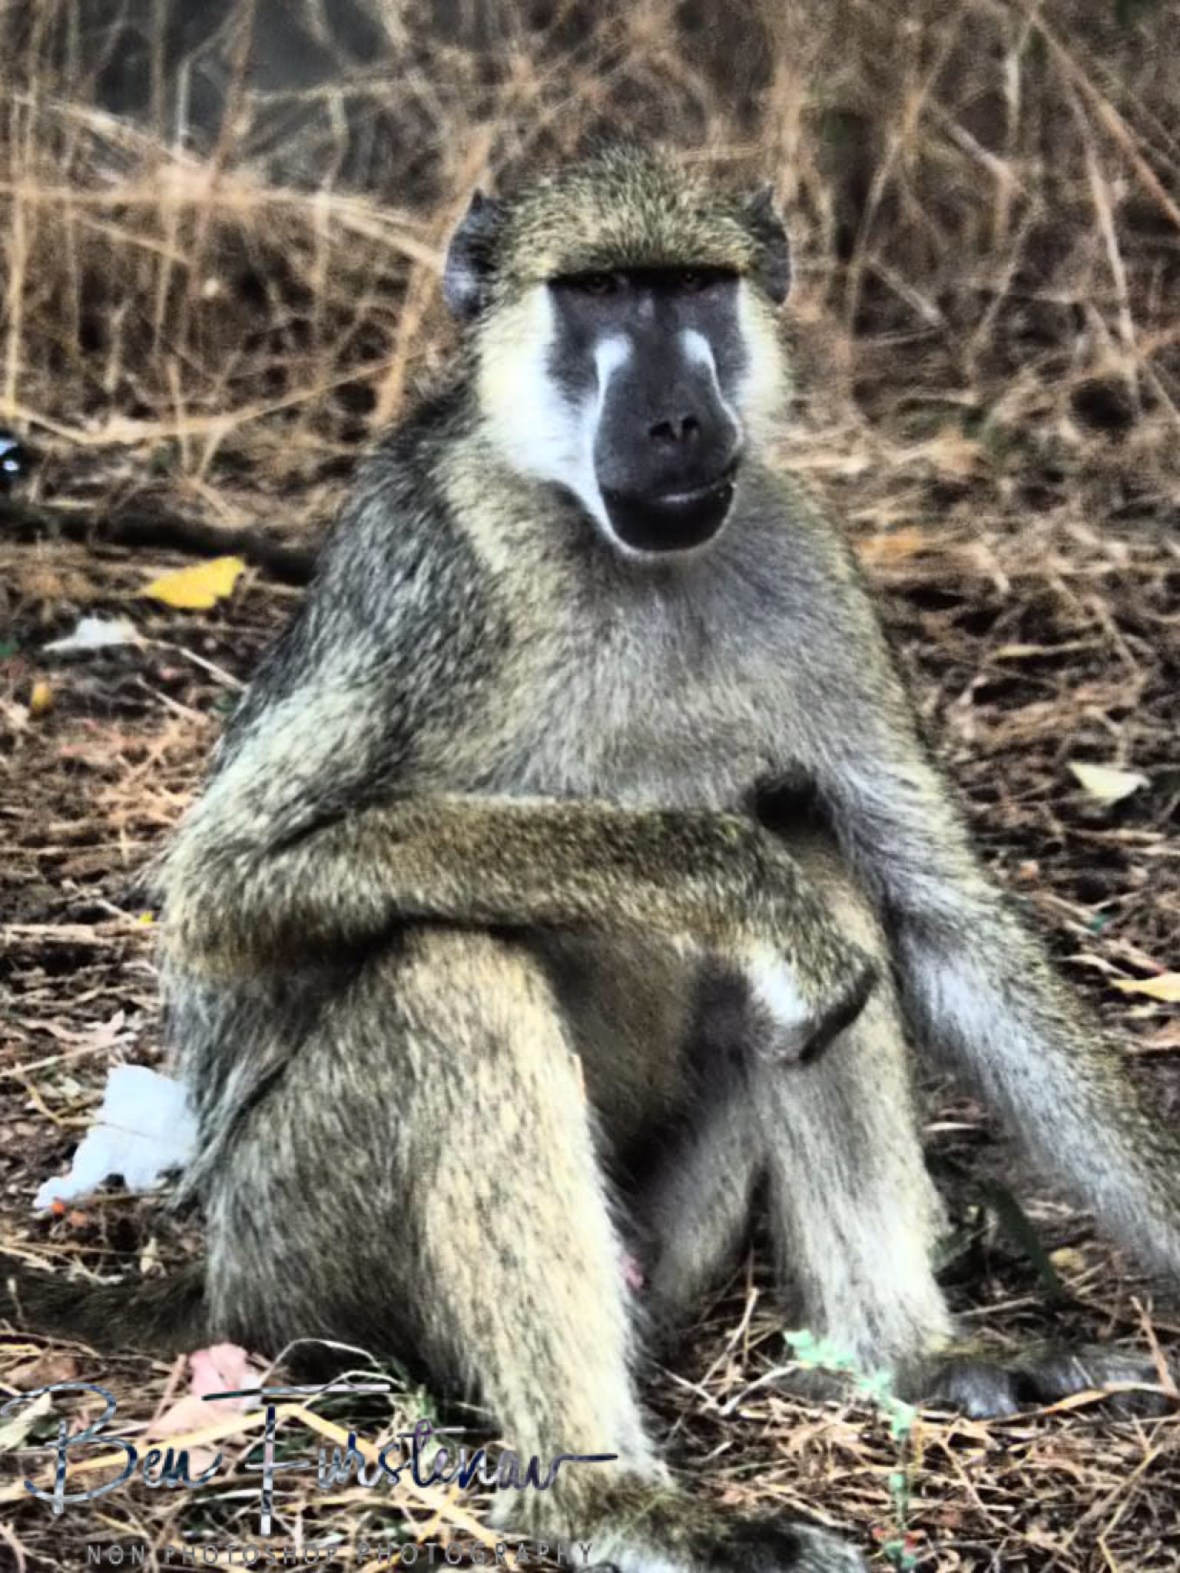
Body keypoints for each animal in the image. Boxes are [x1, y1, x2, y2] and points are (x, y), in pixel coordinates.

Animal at [4, 146, 1178, 1572]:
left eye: (693, 287)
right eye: (603, 292)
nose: (676, 421)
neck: (608, 547)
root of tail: (213, 1279)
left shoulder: (811, 568)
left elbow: (937, 919)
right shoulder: (431, 573)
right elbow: (224, 892)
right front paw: (728, 877)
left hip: (661, 1246)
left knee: (825, 870)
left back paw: (908, 1355)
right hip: (291, 1260)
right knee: (452, 974)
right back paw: (605, 1496)